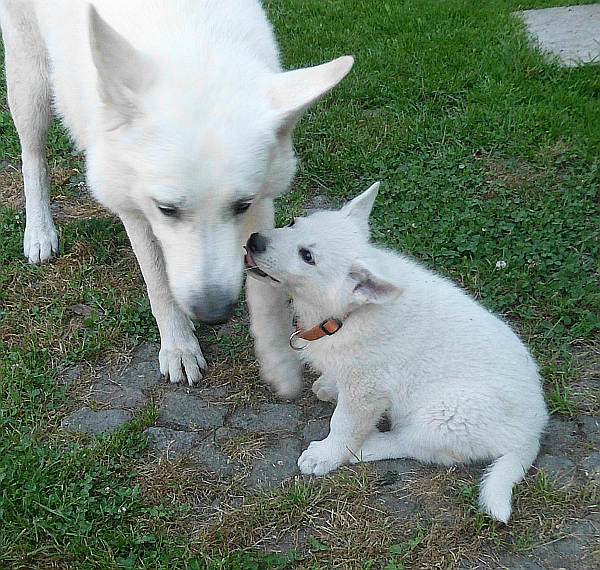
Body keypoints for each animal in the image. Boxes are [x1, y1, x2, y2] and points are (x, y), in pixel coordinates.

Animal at [0, 0, 352, 386]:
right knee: (32, 158)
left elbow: (265, 287)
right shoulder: (135, 209)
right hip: (29, 82)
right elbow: (158, 282)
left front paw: (278, 361)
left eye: (241, 205)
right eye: (167, 209)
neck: (194, 42)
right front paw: (178, 345)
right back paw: (39, 232)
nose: (215, 313)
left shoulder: (261, 204)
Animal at [244, 184, 548, 520]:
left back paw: (367, 447)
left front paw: (326, 454)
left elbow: (344, 424)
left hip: (445, 413)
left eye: (307, 256)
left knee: (414, 444)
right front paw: (329, 385)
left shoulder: (368, 389)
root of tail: (532, 434)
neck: (347, 315)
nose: (254, 240)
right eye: (293, 223)